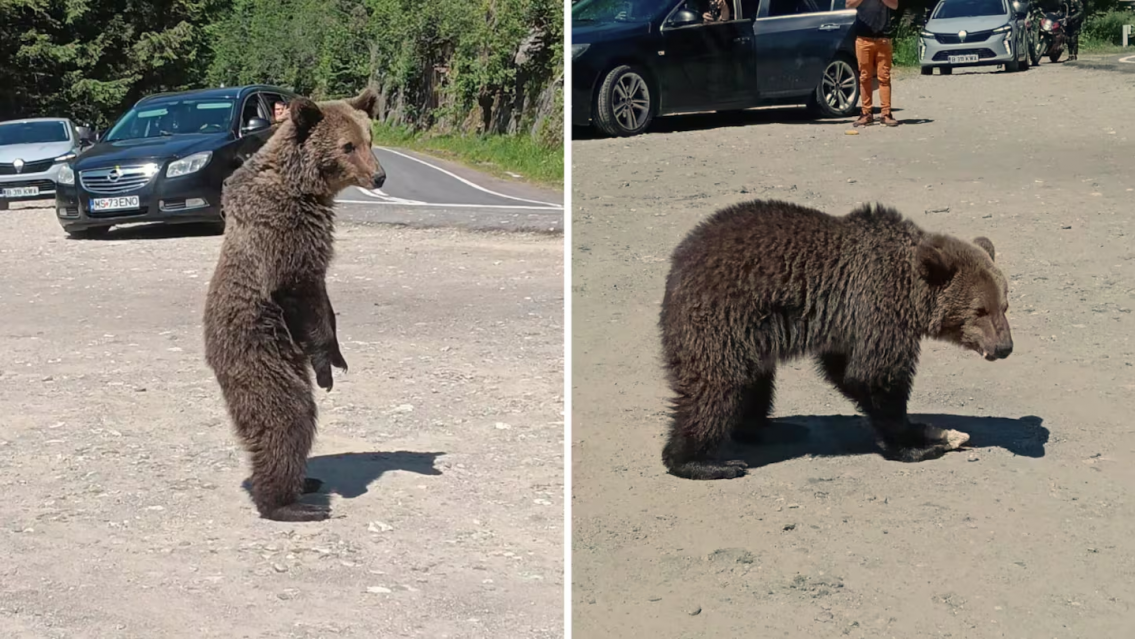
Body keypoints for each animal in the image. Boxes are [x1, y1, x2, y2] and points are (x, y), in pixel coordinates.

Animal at [203, 88, 386, 521]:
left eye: (370, 139)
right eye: (348, 146)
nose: (380, 176)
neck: (305, 188)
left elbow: (325, 302)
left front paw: (339, 353)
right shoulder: (285, 236)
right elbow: (300, 294)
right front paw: (327, 366)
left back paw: (307, 482)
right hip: (260, 351)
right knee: (286, 417)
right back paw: (289, 503)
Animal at [659, 199, 1013, 480]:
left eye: (1004, 305)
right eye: (980, 310)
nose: (1004, 347)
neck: (909, 292)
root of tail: (678, 262)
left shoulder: (847, 324)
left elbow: (844, 370)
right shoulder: (875, 306)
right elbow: (875, 376)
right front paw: (915, 443)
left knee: (756, 382)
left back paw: (772, 428)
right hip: (724, 318)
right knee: (717, 387)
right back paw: (702, 462)